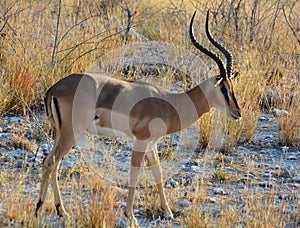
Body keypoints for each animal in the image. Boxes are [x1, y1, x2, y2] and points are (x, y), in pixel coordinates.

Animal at [35, 11, 241, 226]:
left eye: (232, 87)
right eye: (223, 88)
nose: (238, 112)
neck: (170, 103)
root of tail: (54, 88)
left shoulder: (152, 145)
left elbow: (158, 172)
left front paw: (168, 212)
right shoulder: (141, 141)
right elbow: (135, 173)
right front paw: (130, 215)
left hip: (60, 133)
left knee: (53, 163)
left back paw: (59, 211)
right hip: (70, 133)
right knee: (50, 162)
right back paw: (44, 209)